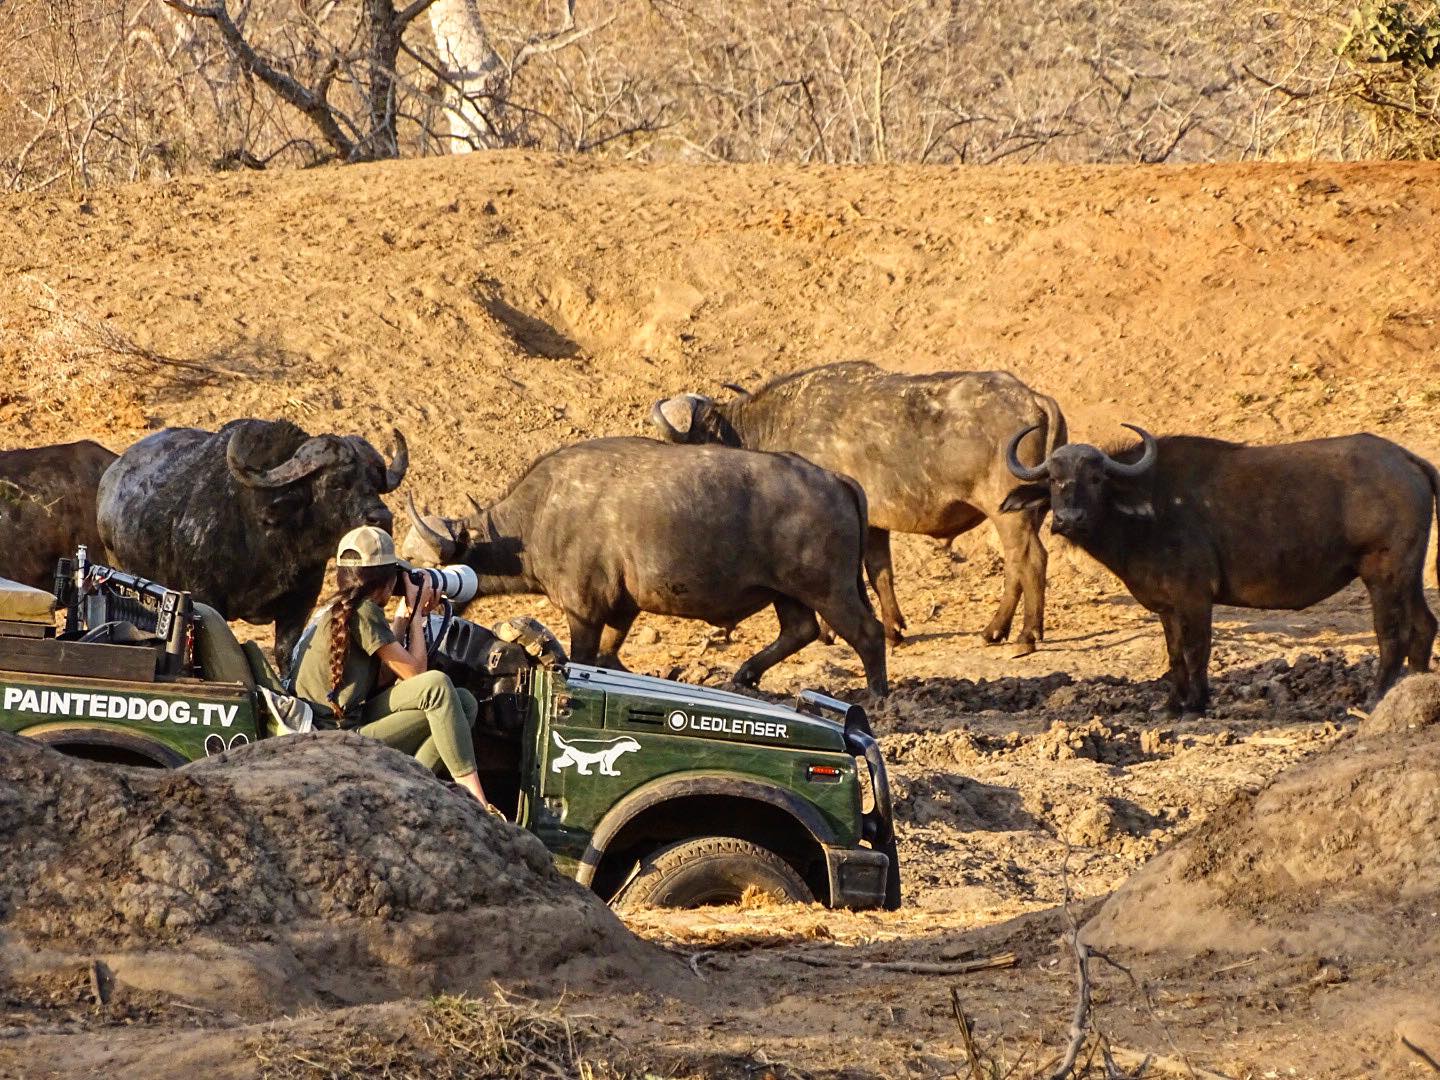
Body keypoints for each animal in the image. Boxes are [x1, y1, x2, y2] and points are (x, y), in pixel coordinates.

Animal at [98, 420, 408, 668]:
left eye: (375, 481)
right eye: (336, 484)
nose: (382, 518)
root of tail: (110, 477)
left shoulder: (300, 604)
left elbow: (287, 654)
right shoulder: (205, 598)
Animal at [400, 437, 881, 696]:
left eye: (418, 561)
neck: (540, 515)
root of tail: (835, 478)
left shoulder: (584, 611)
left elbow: (587, 655)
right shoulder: (623, 608)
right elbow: (610, 655)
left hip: (828, 589)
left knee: (867, 632)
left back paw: (877, 693)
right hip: (788, 592)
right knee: (800, 630)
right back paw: (744, 675)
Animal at [648, 360, 1065, 656]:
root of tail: (1032, 398)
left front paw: (830, 631)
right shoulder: (875, 525)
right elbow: (880, 573)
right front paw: (893, 630)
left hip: (1009, 513)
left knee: (1030, 560)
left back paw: (1025, 635)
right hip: (1023, 514)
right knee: (1016, 565)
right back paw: (997, 631)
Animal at [1002, 429, 1440, 720]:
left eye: (1095, 478)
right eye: (1054, 480)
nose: (1068, 519)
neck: (1148, 508)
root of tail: (1407, 461)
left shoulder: (1195, 597)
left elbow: (1197, 649)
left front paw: (1196, 704)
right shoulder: (1167, 606)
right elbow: (1174, 653)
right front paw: (1173, 704)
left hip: (1384, 573)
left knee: (1392, 633)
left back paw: (1378, 697)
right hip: (1409, 574)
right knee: (1424, 625)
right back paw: (1415, 689)